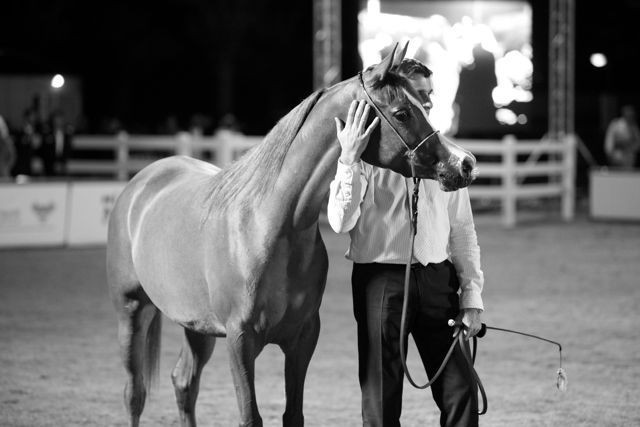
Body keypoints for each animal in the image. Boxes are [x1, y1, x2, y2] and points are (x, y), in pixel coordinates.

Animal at [106, 43, 477, 427]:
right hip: (132, 310)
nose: (464, 164)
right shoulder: (240, 340)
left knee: (184, 383)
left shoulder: (302, 338)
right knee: (135, 394)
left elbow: (293, 414)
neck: (270, 224)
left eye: (423, 105)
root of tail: (143, 179)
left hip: (196, 325)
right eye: (403, 112)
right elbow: (250, 417)